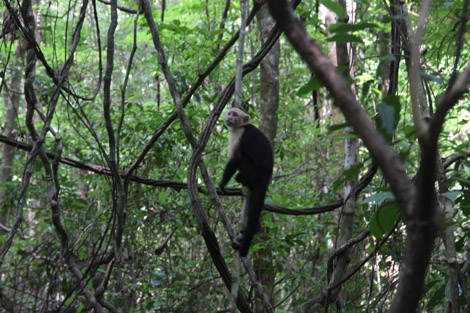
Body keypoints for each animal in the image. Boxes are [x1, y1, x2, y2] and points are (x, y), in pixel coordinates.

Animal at [220, 107, 276, 256]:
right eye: (229, 113)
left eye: (234, 115)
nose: (229, 118)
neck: (242, 125)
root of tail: (266, 175)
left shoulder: (238, 134)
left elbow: (235, 159)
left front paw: (222, 184)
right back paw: (256, 227)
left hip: (253, 173)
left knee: (243, 159)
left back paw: (241, 178)